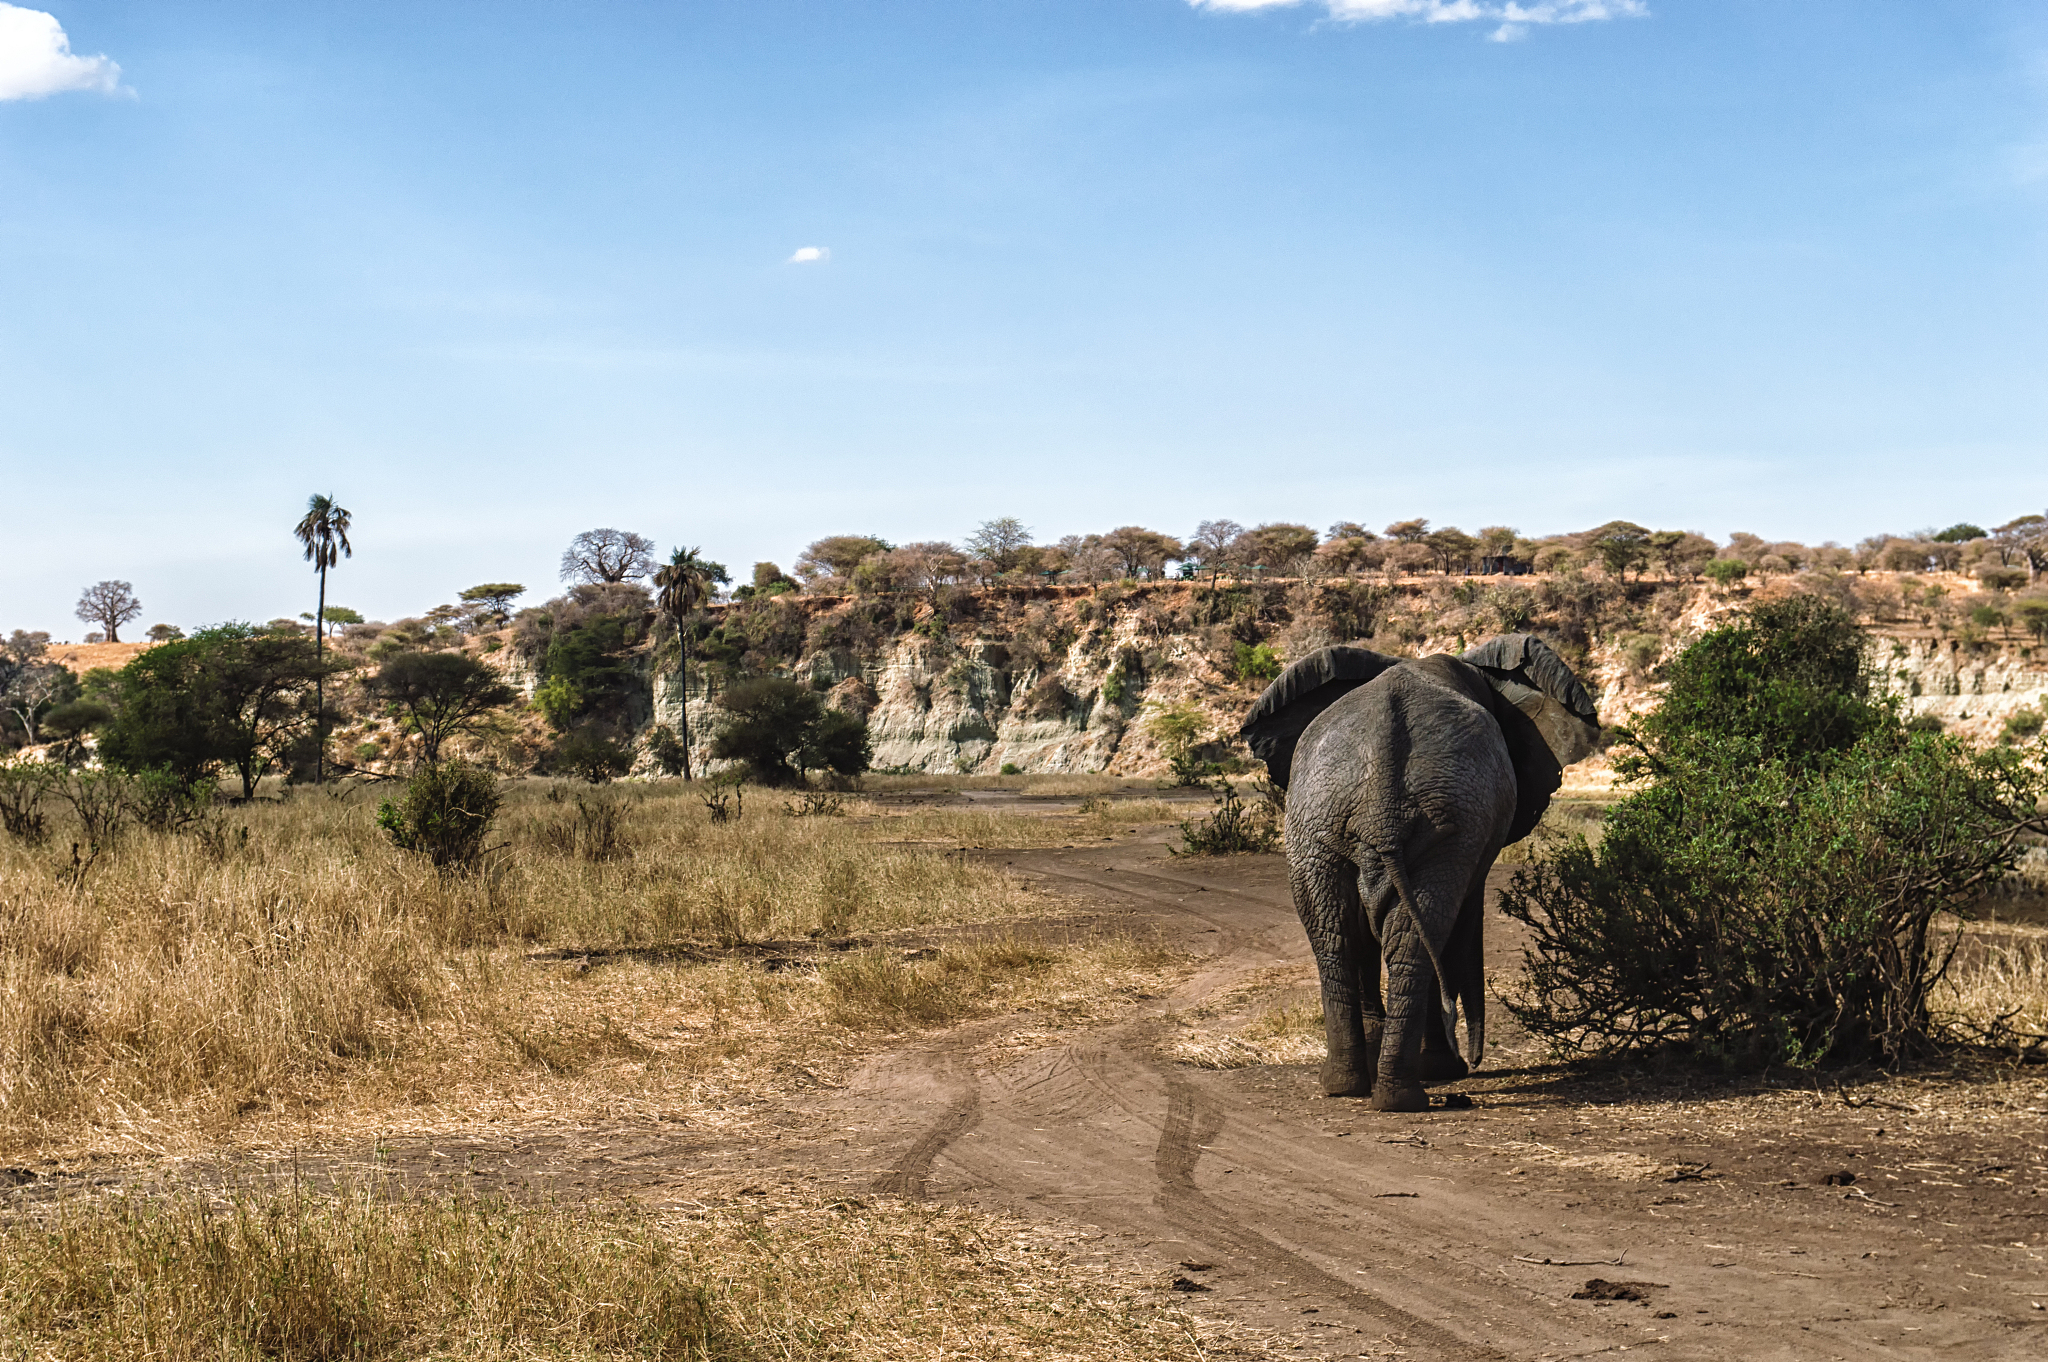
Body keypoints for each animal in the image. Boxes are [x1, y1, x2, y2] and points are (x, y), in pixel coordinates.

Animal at [1238, 635, 1600, 1112]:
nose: (1476, 1060)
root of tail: (1381, 796)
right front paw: (1444, 1068)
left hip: (1323, 819)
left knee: (1340, 935)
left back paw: (1352, 1087)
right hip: (1409, 822)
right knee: (1412, 935)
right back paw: (1412, 1087)